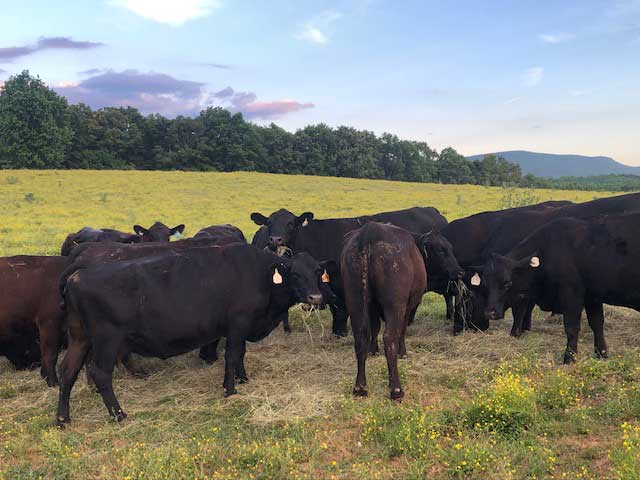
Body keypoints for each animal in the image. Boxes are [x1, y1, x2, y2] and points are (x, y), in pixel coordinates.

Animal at [56, 246, 336, 426]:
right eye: (295, 273)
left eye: (317, 273)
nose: (315, 297)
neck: (260, 274)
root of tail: (78, 274)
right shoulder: (238, 323)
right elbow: (232, 355)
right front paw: (230, 390)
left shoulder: (239, 328)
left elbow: (240, 354)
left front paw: (243, 379)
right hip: (107, 340)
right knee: (100, 373)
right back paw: (118, 414)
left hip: (80, 338)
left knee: (68, 371)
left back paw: (62, 419)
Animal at [248, 205, 448, 334]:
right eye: (268, 222)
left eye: (291, 223)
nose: (275, 239)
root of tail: (433, 210)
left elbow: (340, 309)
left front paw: (340, 331)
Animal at [342, 223, 428, 400]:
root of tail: (369, 231)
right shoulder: (406, 307)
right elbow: (402, 330)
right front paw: (403, 352)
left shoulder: (372, 306)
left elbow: (374, 328)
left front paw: (373, 350)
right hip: (394, 304)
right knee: (390, 337)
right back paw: (396, 389)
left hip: (354, 300)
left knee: (360, 336)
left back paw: (360, 387)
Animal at [478, 215, 640, 364]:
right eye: (485, 283)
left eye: (507, 282)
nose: (490, 312)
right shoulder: (592, 297)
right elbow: (597, 324)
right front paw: (602, 354)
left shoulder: (571, 294)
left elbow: (571, 327)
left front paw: (569, 357)